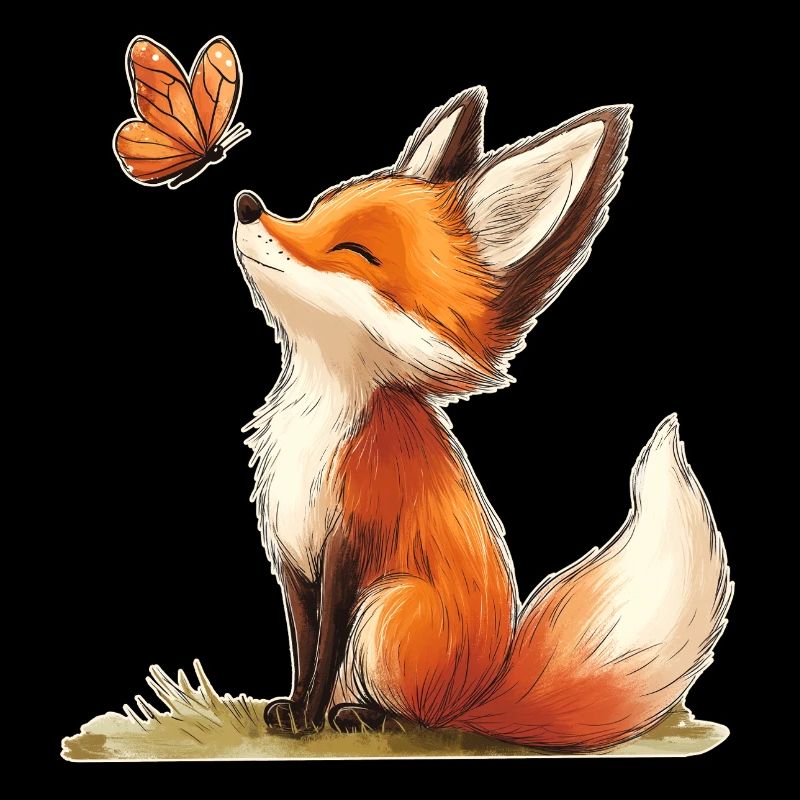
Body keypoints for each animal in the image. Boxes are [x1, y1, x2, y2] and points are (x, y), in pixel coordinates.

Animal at [232, 87, 732, 751]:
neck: (319, 421)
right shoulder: (290, 555)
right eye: (312, 210)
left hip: (389, 609)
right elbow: (303, 647)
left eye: (355, 252)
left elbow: (325, 645)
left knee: (419, 714)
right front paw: (290, 709)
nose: (246, 205)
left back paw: (367, 716)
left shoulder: (349, 548)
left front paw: (308, 721)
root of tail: (481, 691)